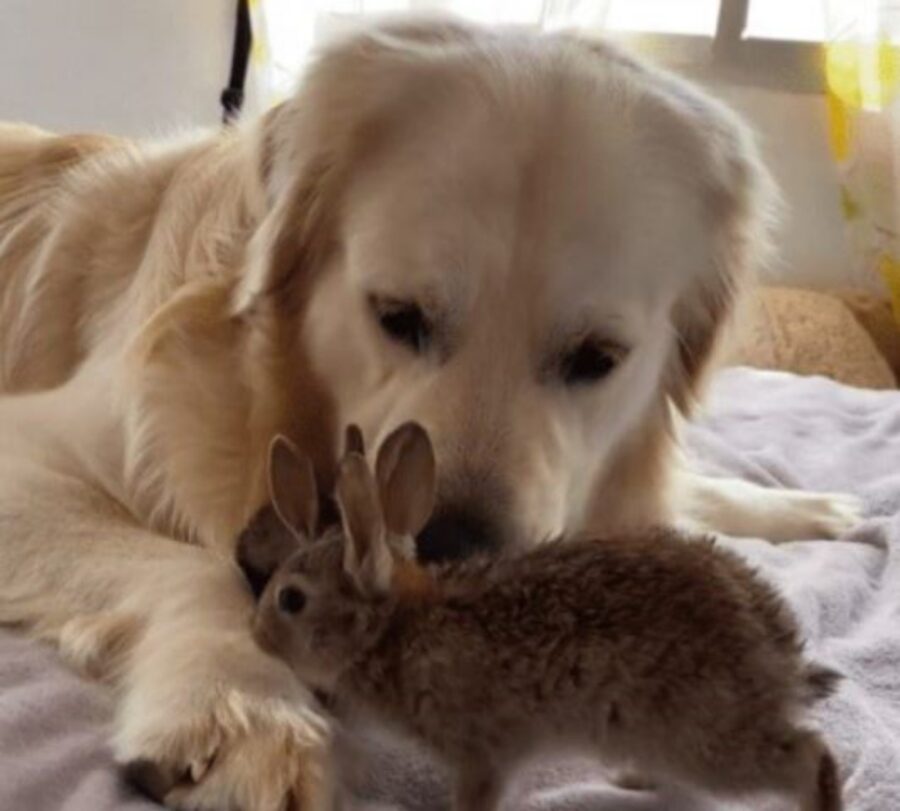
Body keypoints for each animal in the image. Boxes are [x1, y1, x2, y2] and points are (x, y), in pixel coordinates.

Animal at [239, 422, 844, 811]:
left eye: (291, 599)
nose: (257, 634)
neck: (394, 628)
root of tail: (777, 649)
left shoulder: (483, 748)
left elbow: (477, 795)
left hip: (707, 737)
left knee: (810, 756)